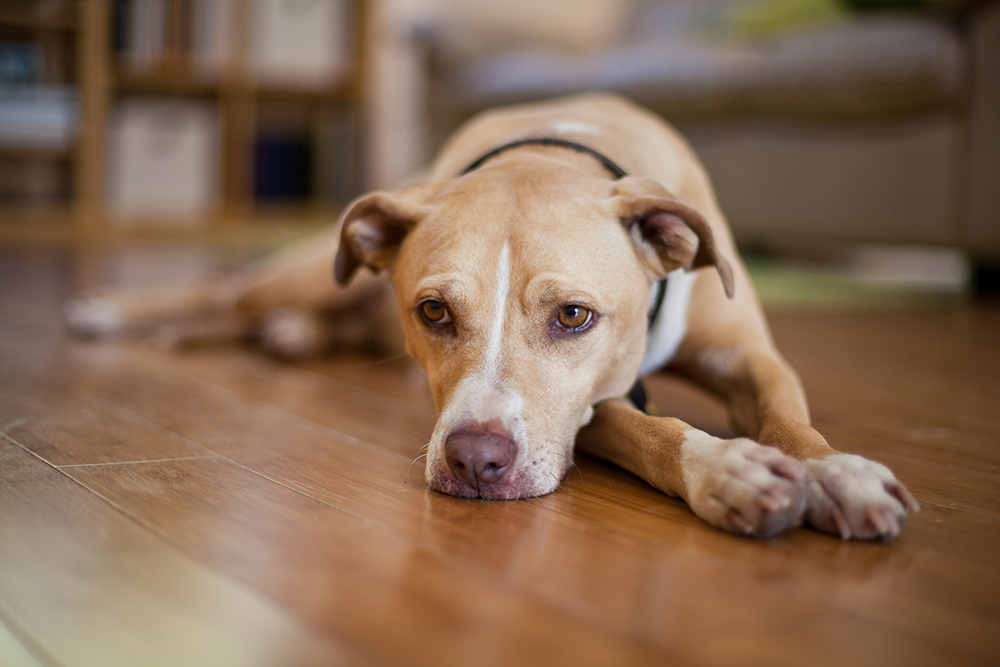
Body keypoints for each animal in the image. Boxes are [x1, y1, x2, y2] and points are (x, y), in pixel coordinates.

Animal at [66, 94, 916, 540]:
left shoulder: (750, 358)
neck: (555, 149)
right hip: (311, 273)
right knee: (227, 291)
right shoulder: (590, 408)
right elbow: (653, 429)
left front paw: (839, 475)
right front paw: (729, 468)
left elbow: (791, 419)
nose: (476, 461)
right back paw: (111, 309)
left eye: (574, 315)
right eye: (434, 310)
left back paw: (288, 336)